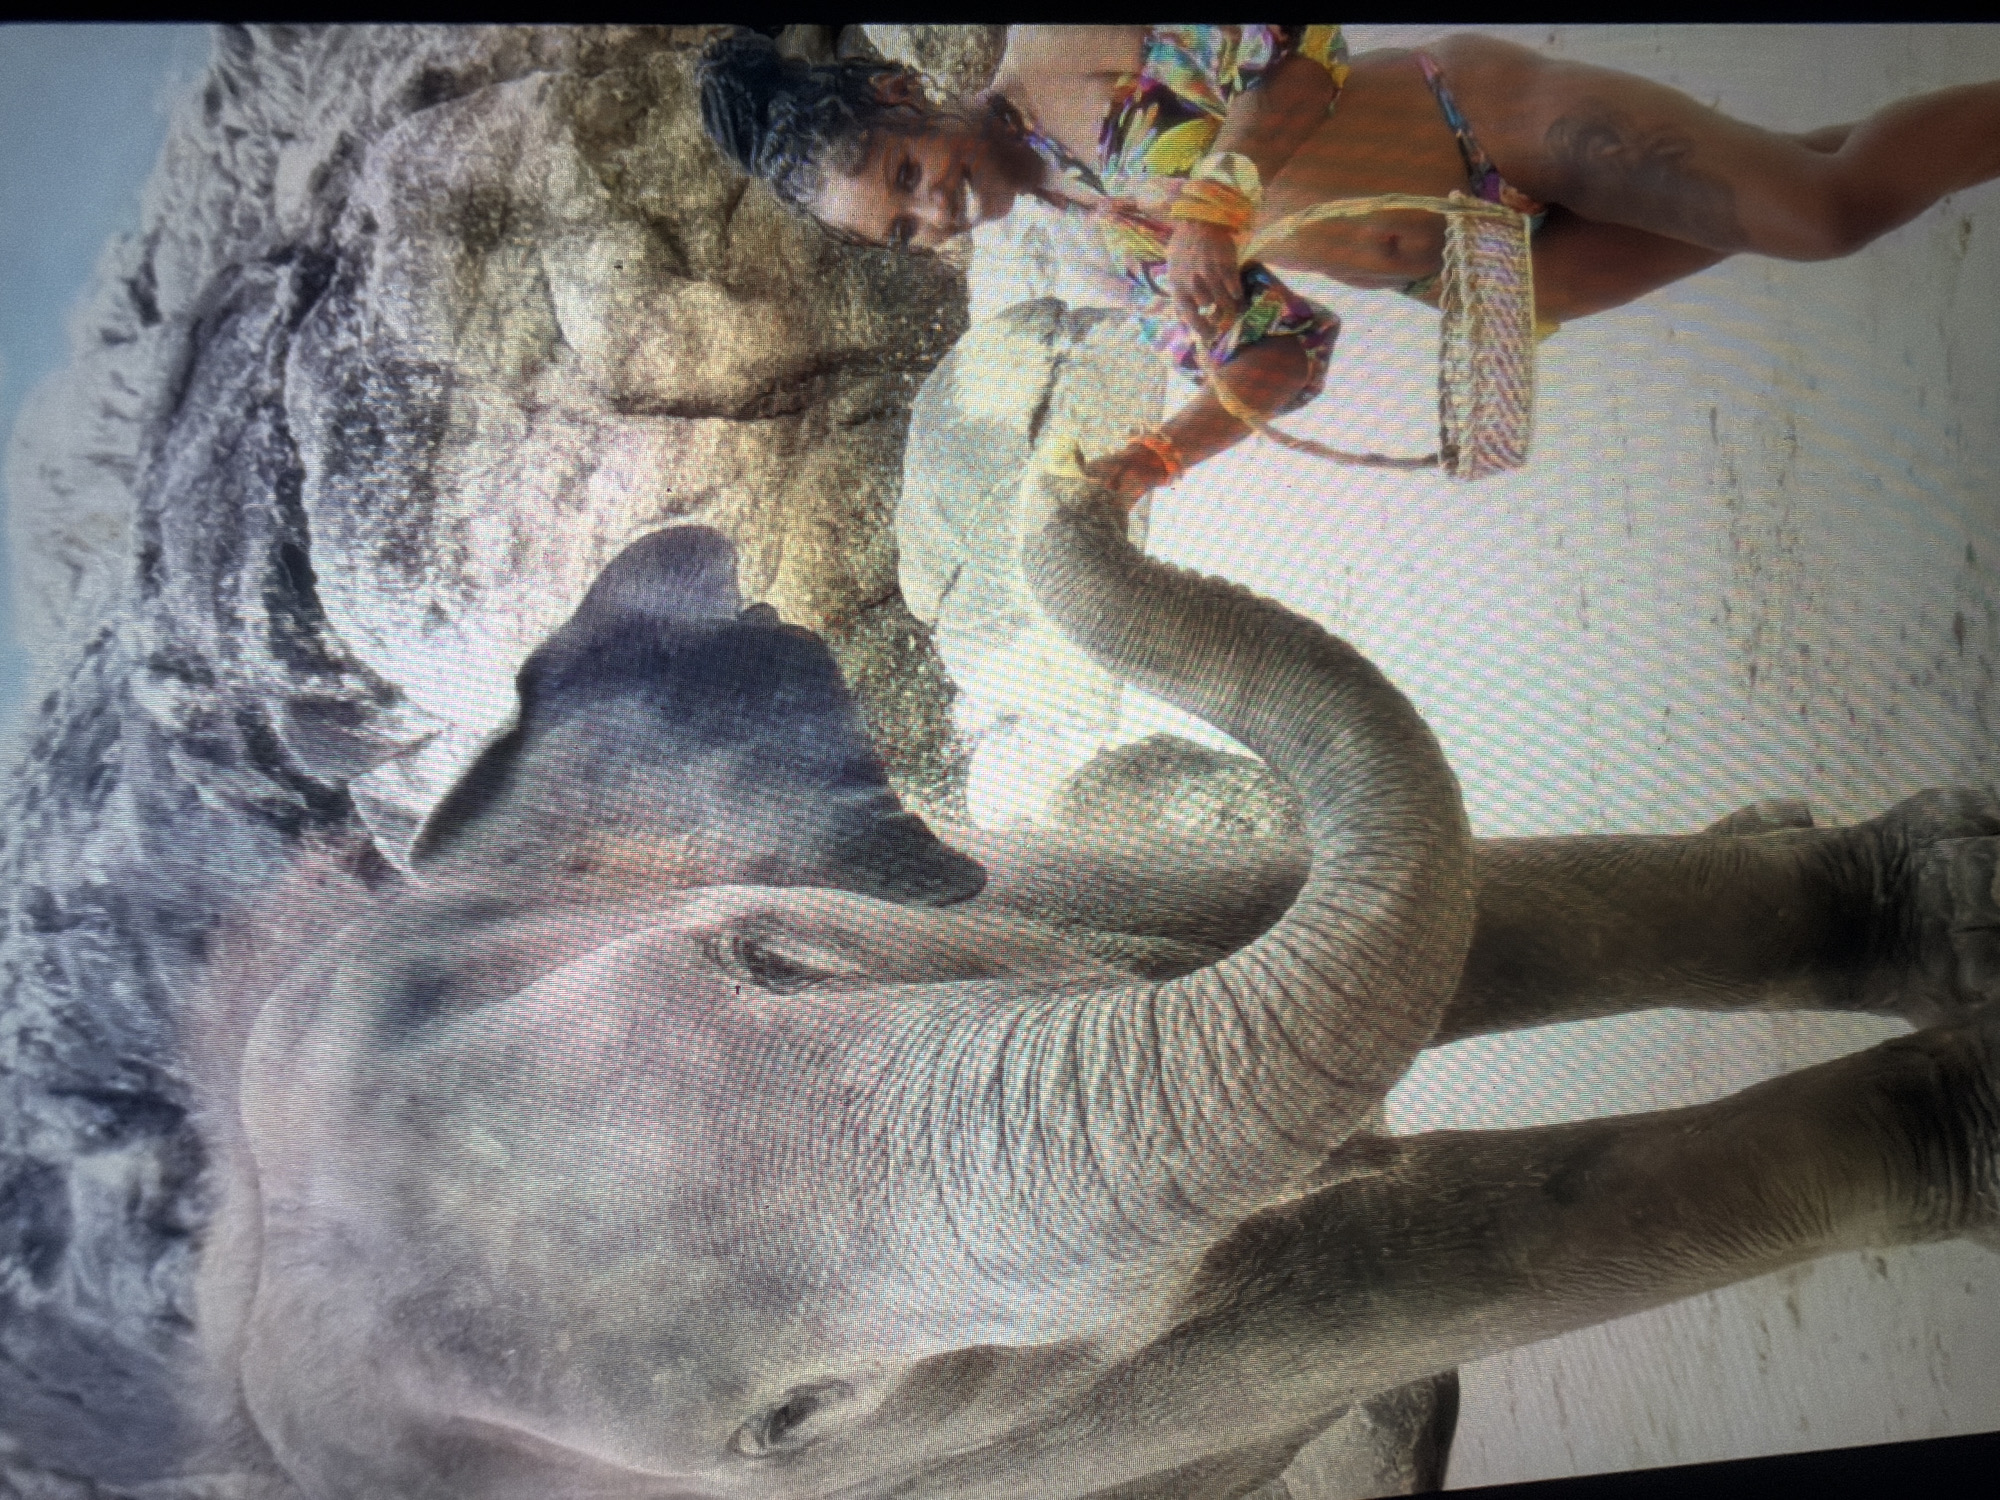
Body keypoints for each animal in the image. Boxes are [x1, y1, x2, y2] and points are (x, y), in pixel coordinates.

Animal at [189, 476, 2000, 1498]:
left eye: (773, 953)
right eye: (797, 1422)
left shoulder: (1032, 882)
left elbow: (1407, 915)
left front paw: (1955, 911)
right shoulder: (1049, 1432)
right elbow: (1430, 1264)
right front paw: (1983, 1115)